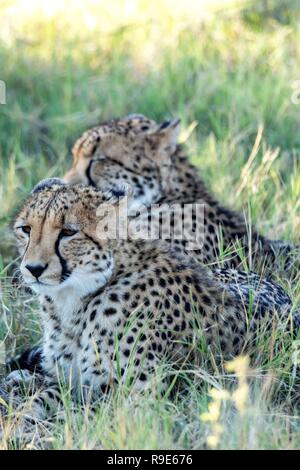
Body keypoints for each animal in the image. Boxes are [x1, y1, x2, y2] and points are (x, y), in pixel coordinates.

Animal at [1, 179, 298, 422]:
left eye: (68, 232)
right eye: (26, 229)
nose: (33, 269)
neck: (74, 300)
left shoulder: (142, 398)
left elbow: (85, 410)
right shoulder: (71, 380)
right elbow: (48, 395)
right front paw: (24, 413)